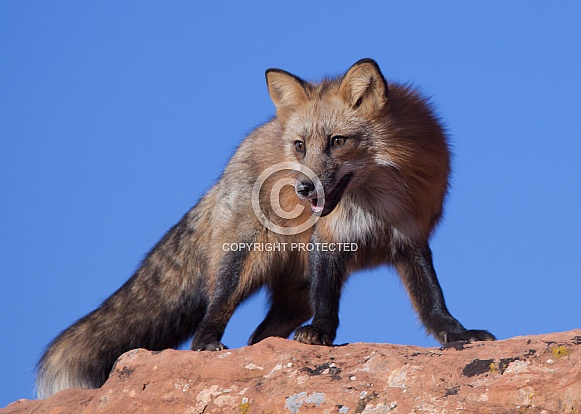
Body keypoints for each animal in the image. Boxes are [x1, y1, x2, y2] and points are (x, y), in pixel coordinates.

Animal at [35, 58, 494, 398]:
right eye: (300, 146)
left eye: (338, 141)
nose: (303, 188)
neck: (374, 204)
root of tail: (229, 165)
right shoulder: (327, 242)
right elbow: (328, 302)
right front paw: (321, 335)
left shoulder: (410, 238)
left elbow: (432, 301)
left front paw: (457, 336)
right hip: (241, 267)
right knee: (211, 316)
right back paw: (208, 345)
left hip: (293, 299)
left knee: (260, 337)